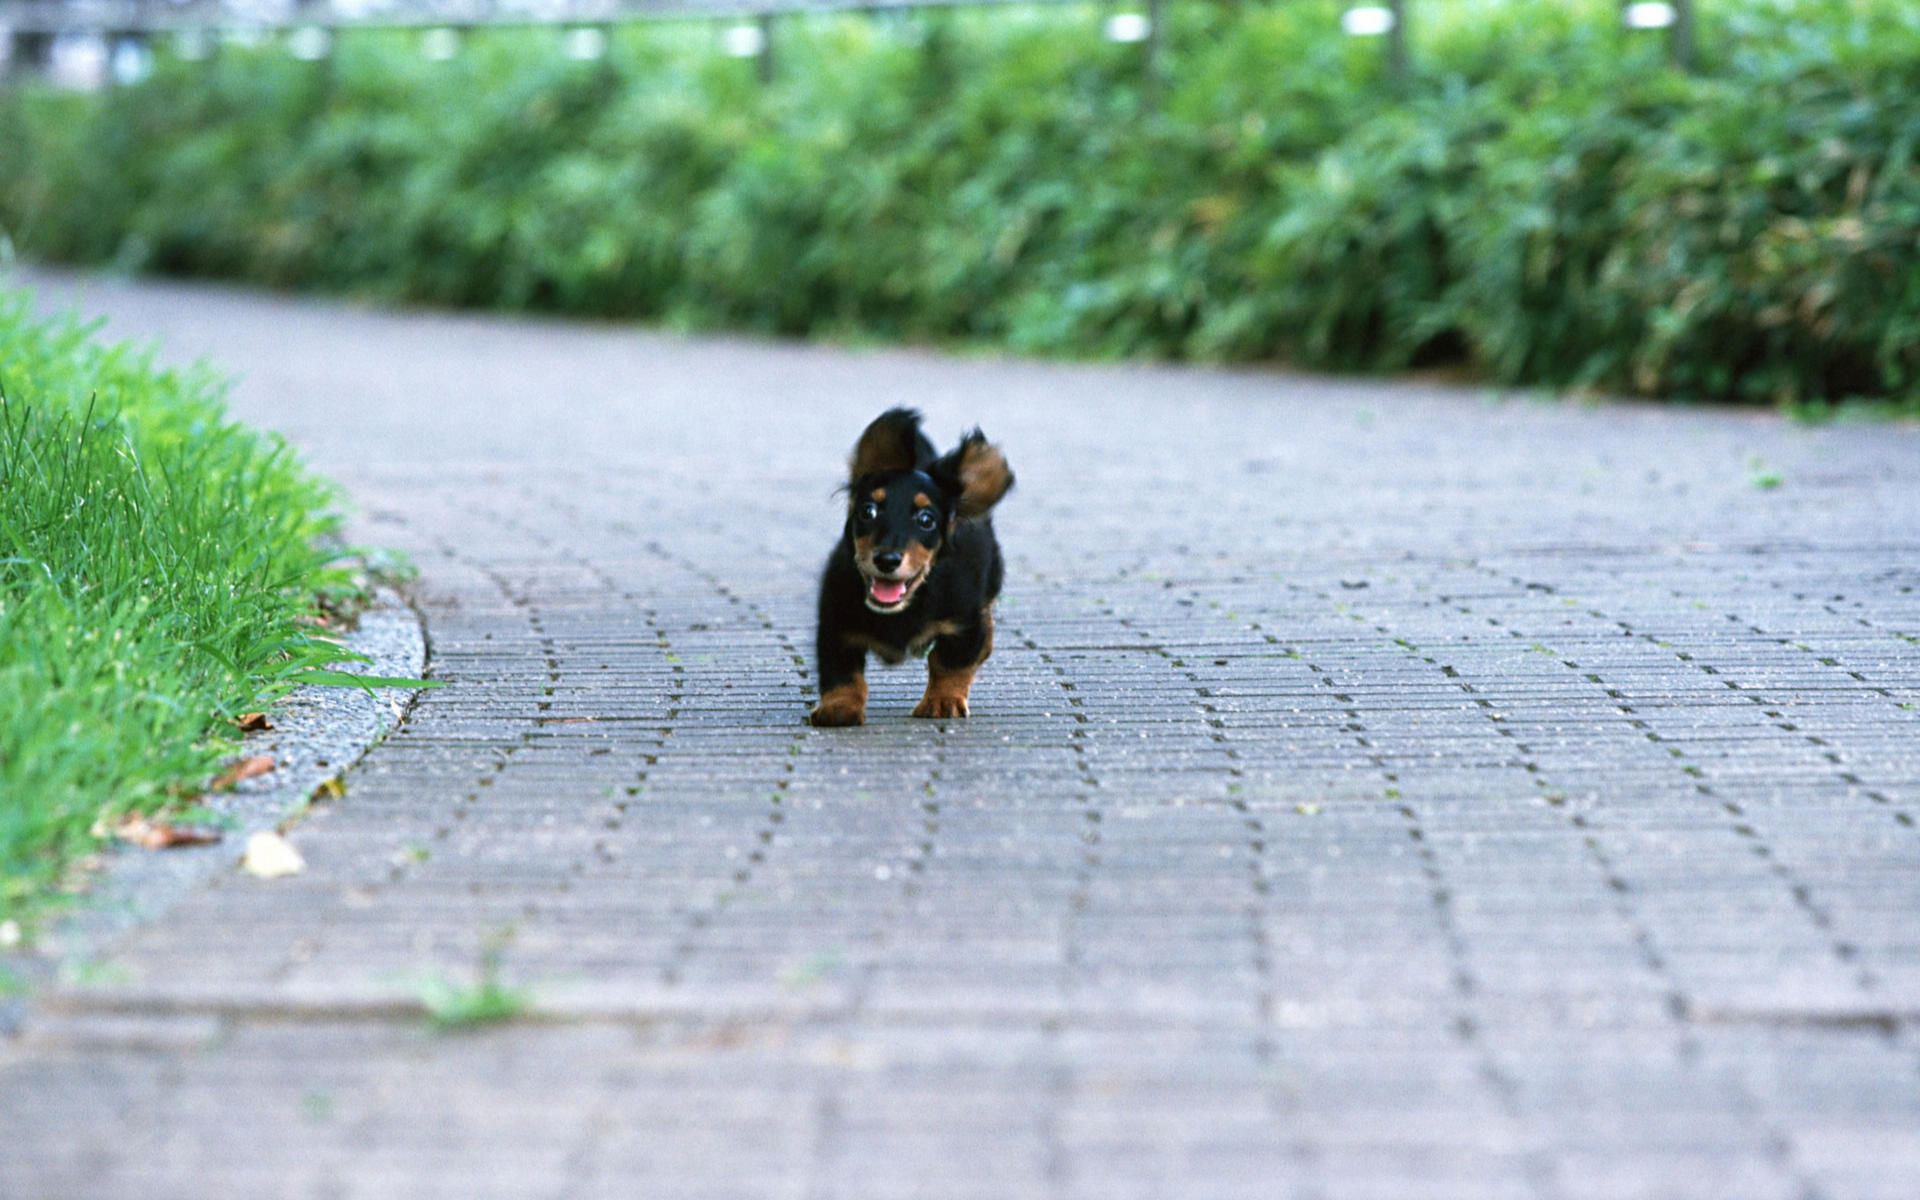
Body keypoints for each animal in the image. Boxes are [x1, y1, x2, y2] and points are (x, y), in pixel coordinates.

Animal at [814, 407, 1021, 725]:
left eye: (926, 520)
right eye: (867, 511)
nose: (886, 560)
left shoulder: (963, 623)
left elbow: (949, 663)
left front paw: (943, 701)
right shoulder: (834, 622)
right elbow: (842, 672)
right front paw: (839, 707)